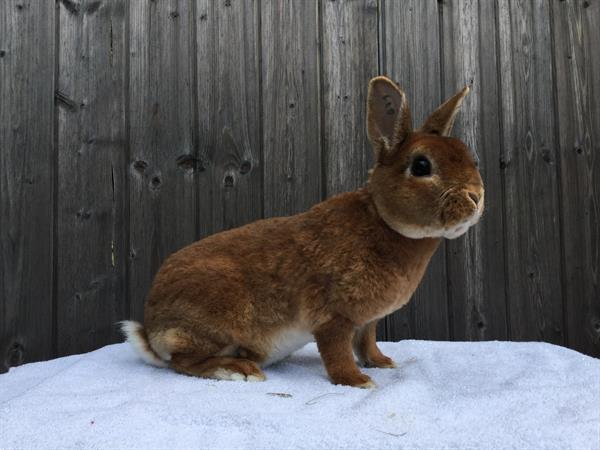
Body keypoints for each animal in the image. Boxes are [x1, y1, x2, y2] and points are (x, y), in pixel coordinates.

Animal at [120, 75, 482, 388]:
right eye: (421, 166)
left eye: (470, 159)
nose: (476, 196)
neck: (382, 219)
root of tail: (152, 331)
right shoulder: (333, 317)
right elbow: (337, 353)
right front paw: (358, 381)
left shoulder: (366, 321)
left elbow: (367, 343)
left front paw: (382, 363)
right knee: (183, 362)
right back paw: (237, 370)